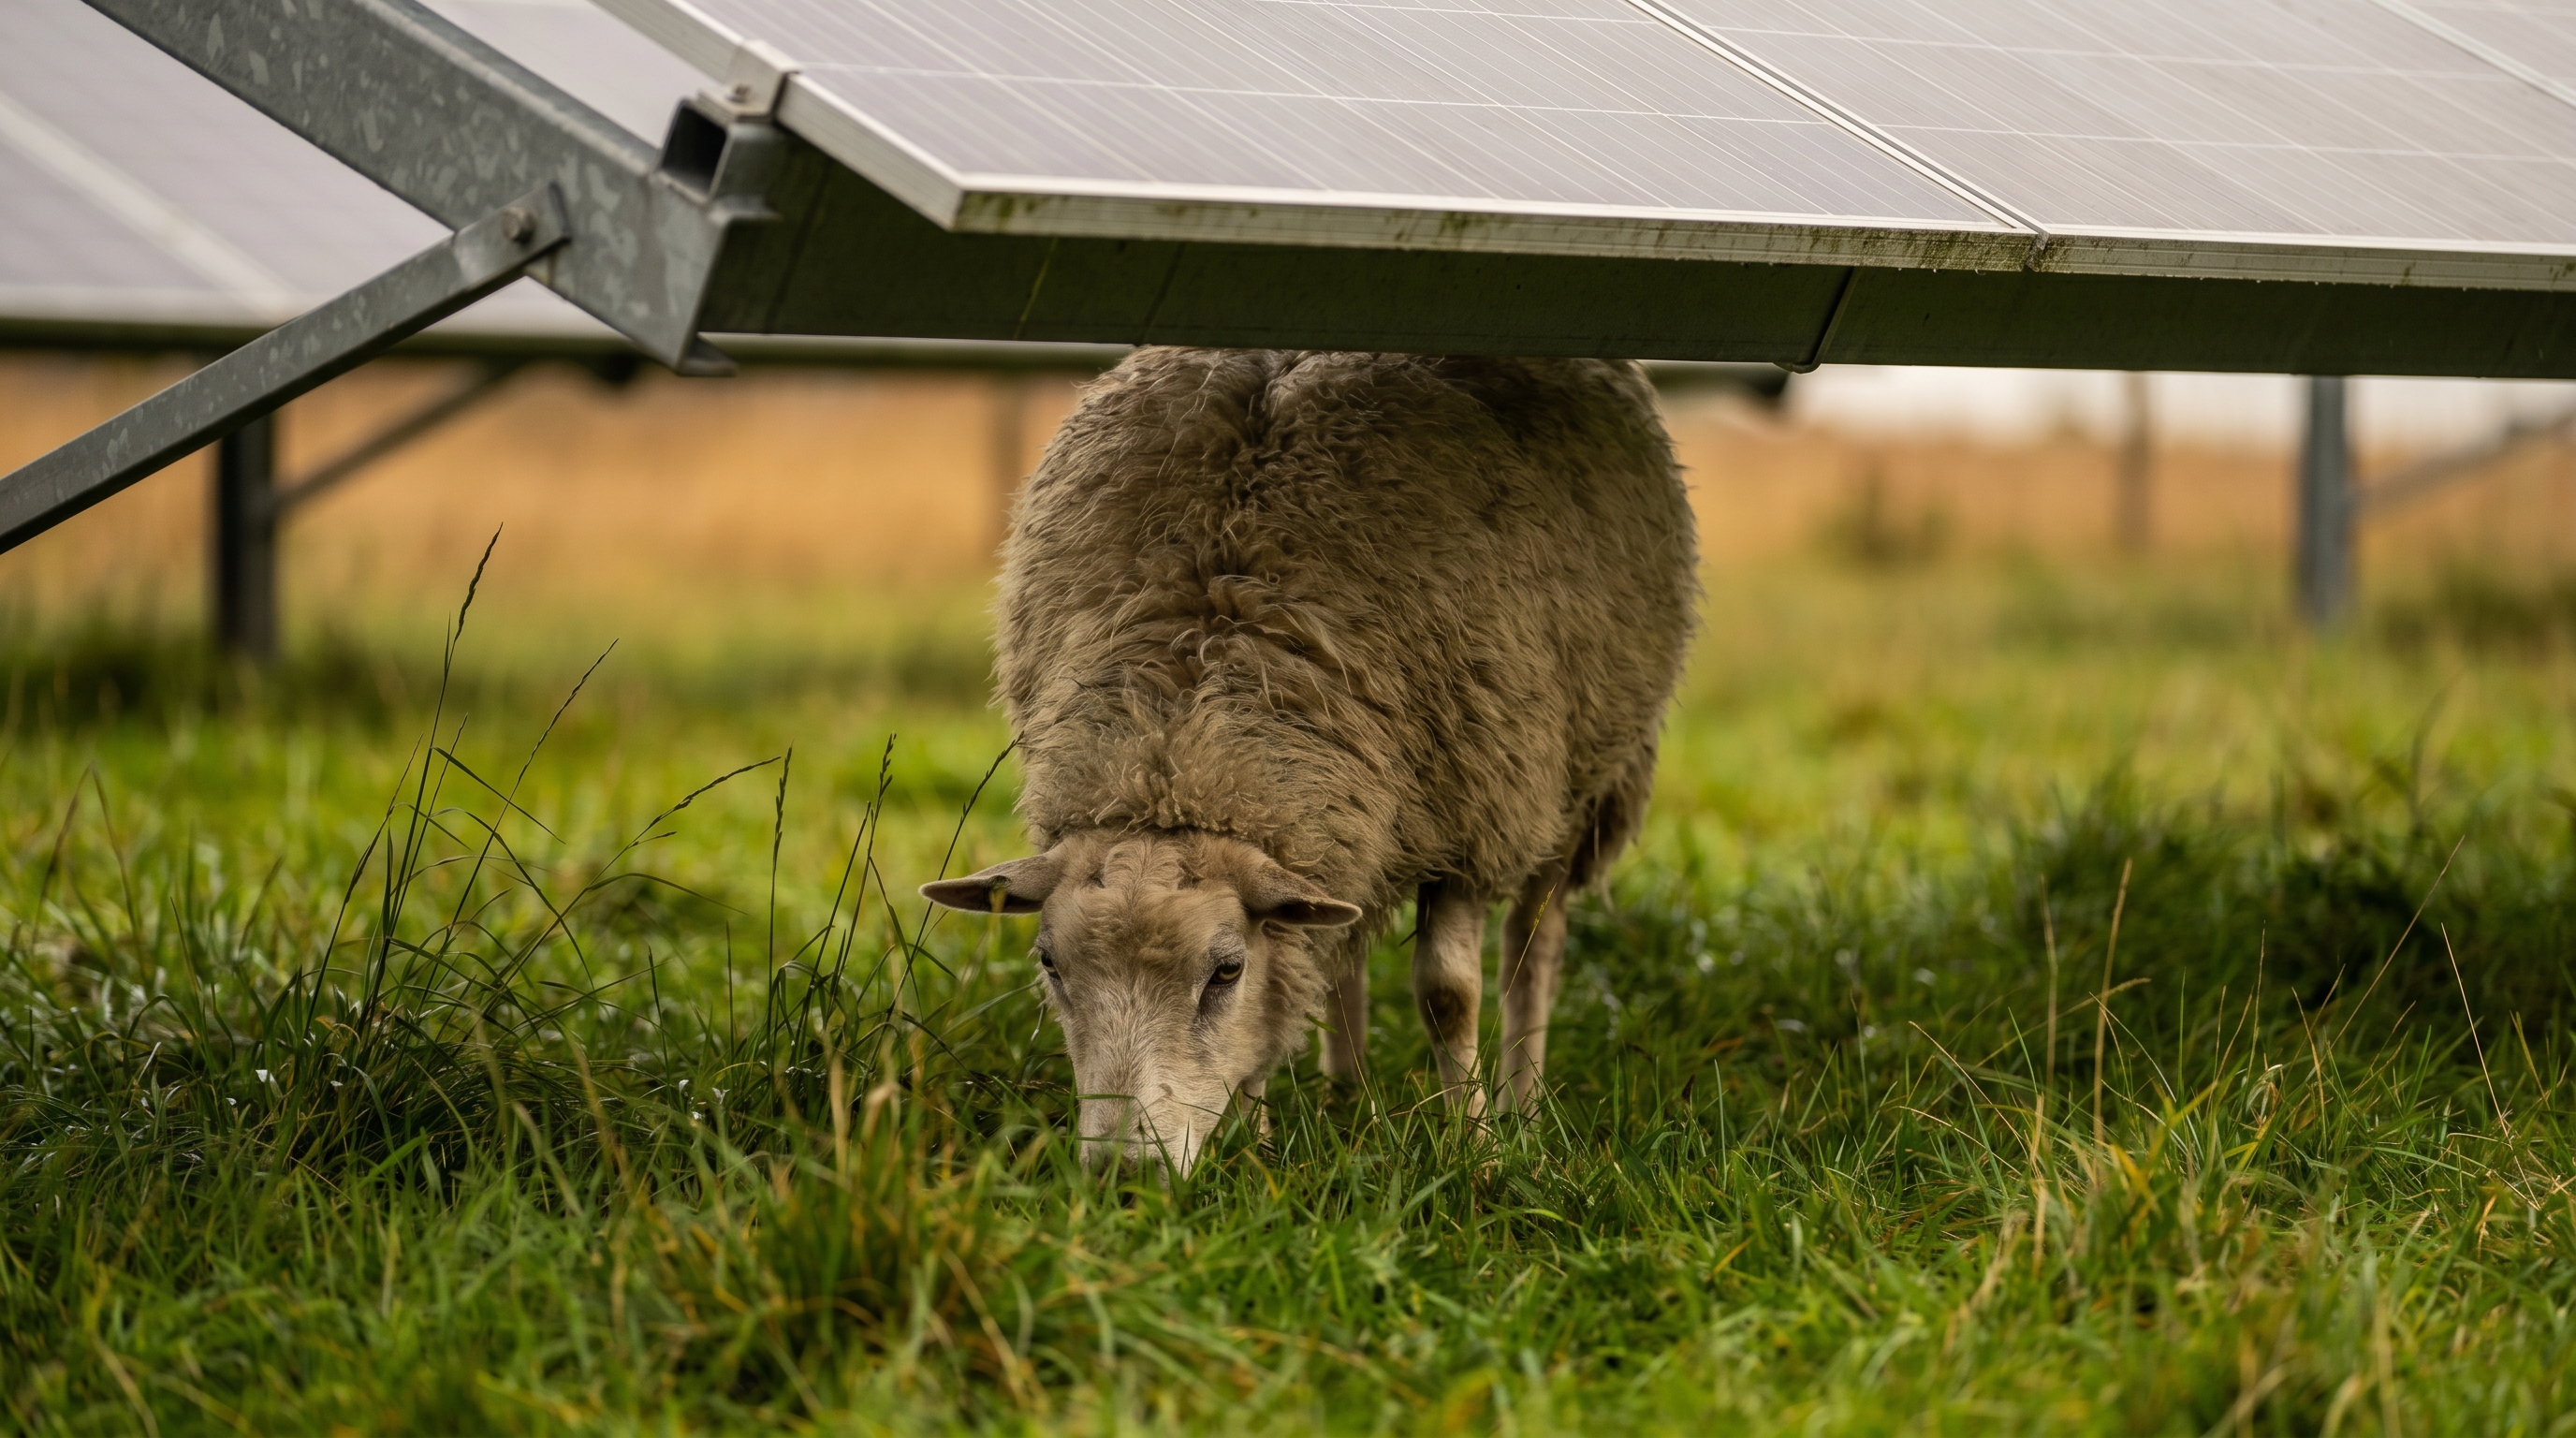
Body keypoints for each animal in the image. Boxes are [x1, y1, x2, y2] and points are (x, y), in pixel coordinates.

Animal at [922, 347, 1697, 1174]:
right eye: (1049, 966)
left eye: (1226, 971)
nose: (1124, 1174)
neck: (1177, 753)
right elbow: (1289, 991)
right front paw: (1260, 1153)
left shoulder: (1475, 817)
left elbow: (1448, 996)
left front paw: (1477, 1151)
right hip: (1352, 826)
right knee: (1337, 948)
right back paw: (1345, 1101)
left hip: (1580, 779)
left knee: (1532, 944)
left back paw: (1524, 1100)